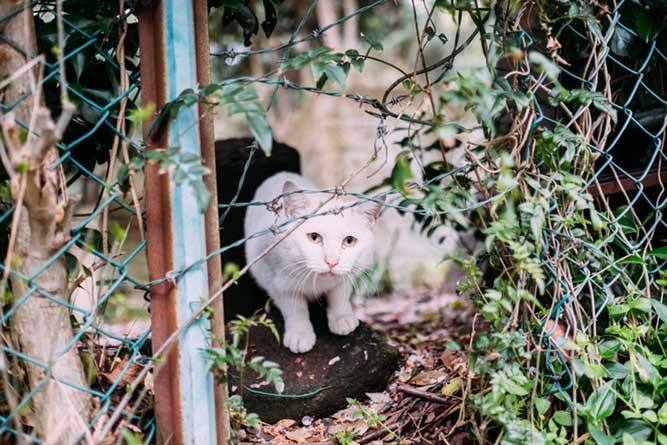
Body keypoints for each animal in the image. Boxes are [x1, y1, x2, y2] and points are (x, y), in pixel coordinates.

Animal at [245, 172, 384, 352]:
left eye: (349, 241)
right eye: (314, 237)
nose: (331, 262)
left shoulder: (348, 274)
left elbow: (339, 294)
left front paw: (342, 317)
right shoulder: (276, 282)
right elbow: (295, 308)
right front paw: (300, 333)